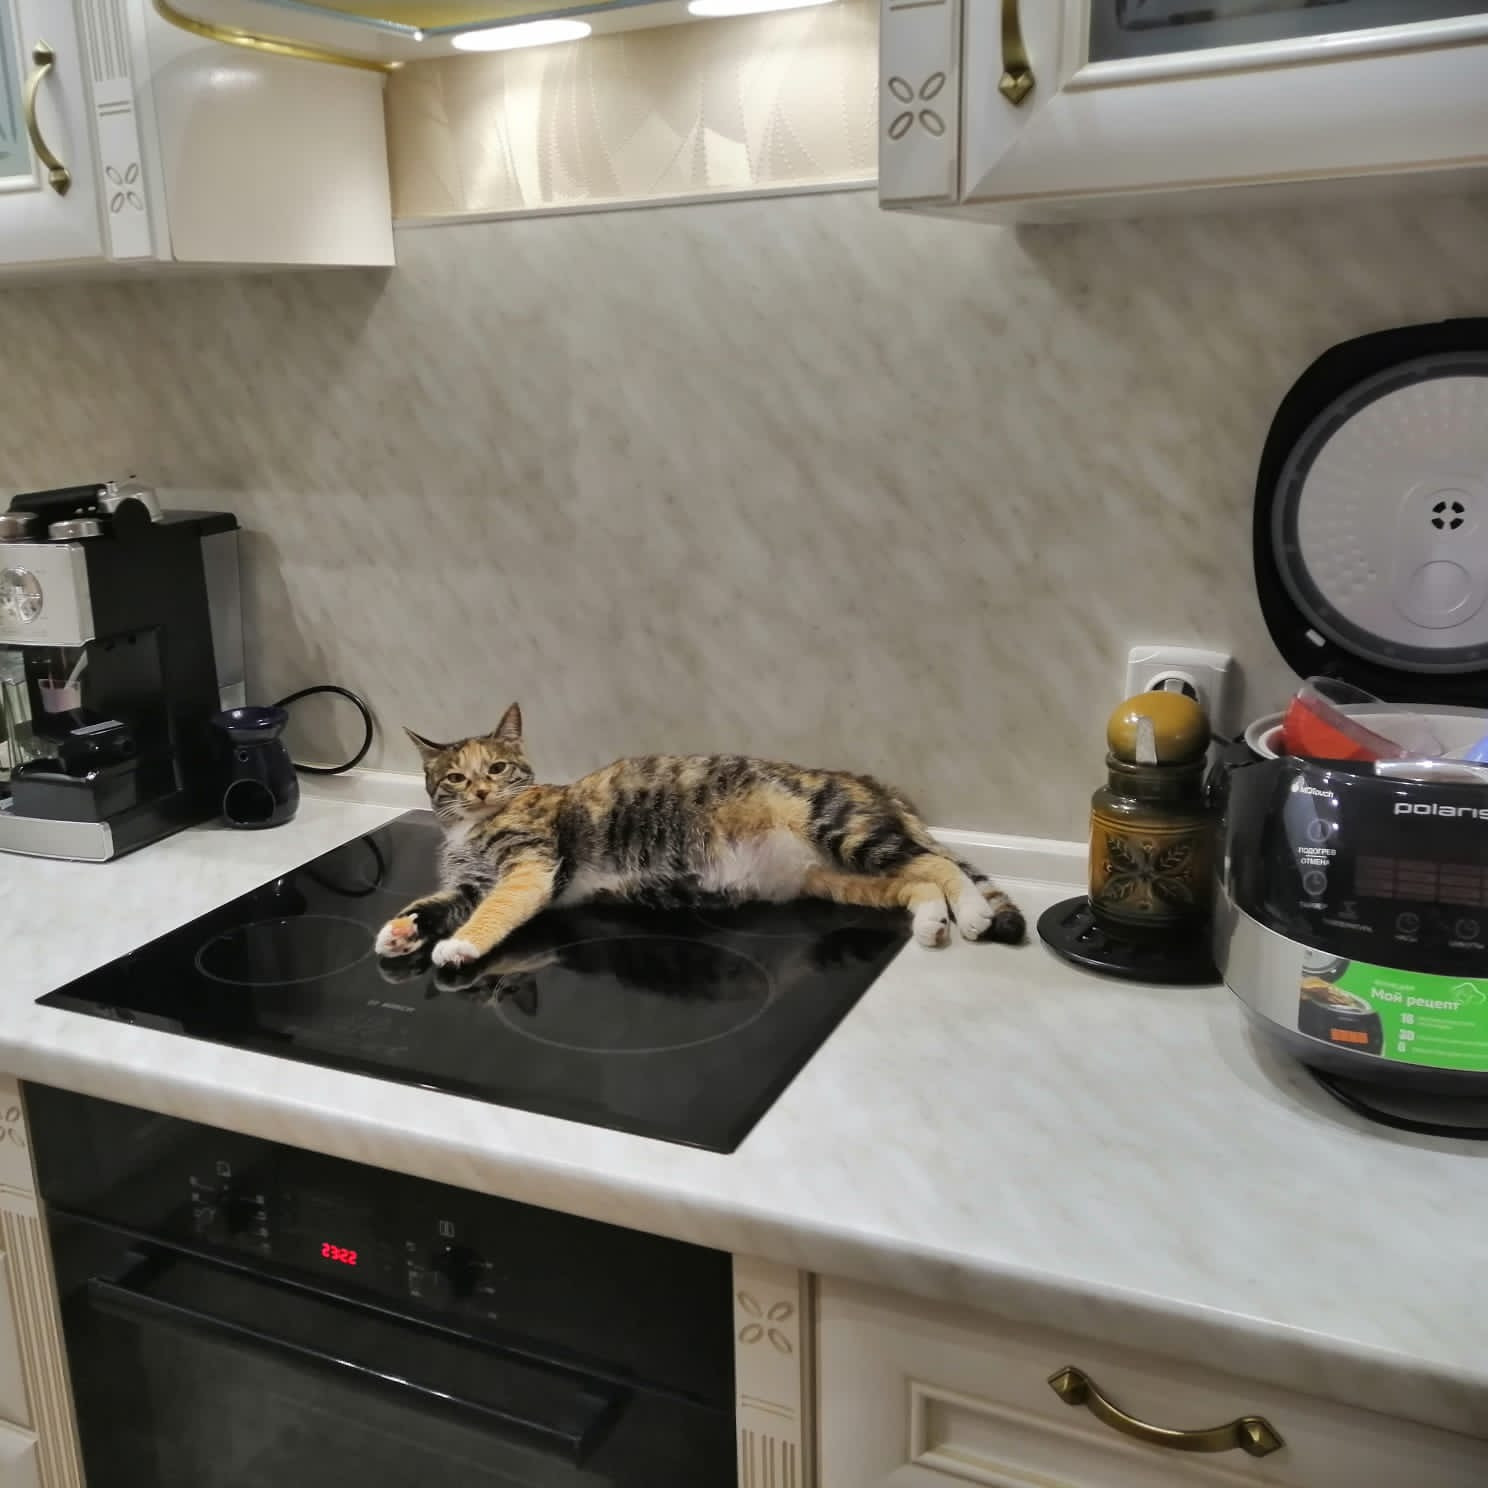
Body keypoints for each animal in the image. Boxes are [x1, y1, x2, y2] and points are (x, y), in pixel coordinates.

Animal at [375, 703, 1024, 968]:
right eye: (455, 777)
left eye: (499, 768)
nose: (482, 791)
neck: (475, 829)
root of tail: (865, 781)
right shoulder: (466, 882)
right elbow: (435, 902)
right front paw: (400, 930)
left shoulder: (529, 865)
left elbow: (494, 909)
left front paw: (458, 946)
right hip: (837, 877)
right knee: (913, 881)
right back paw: (932, 922)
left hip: (844, 829)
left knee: (940, 866)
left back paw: (971, 915)